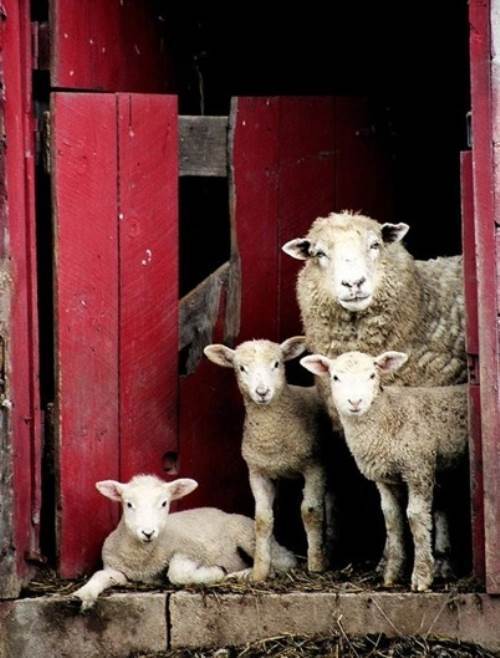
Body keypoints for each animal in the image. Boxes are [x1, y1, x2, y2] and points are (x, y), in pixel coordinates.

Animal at [72, 474, 296, 610]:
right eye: (128, 504)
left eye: (164, 503)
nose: (148, 532)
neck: (142, 557)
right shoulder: (116, 569)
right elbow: (100, 576)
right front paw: (83, 594)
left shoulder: (191, 550)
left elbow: (177, 574)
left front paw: (216, 572)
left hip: (248, 535)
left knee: (284, 562)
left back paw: (242, 574)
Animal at [204, 337, 332, 581]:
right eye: (241, 368)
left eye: (276, 364)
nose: (262, 392)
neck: (272, 435)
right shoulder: (258, 471)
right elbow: (262, 520)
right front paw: (259, 572)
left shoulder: (315, 466)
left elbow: (310, 512)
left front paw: (316, 565)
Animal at [301, 350, 467, 592]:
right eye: (335, 377)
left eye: (372, 375)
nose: (355, 402)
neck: (386, 415)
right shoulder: (384, 478)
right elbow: (391, 518)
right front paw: (391, 574)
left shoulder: (419, 468)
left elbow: (415, 517)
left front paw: (421, 576)